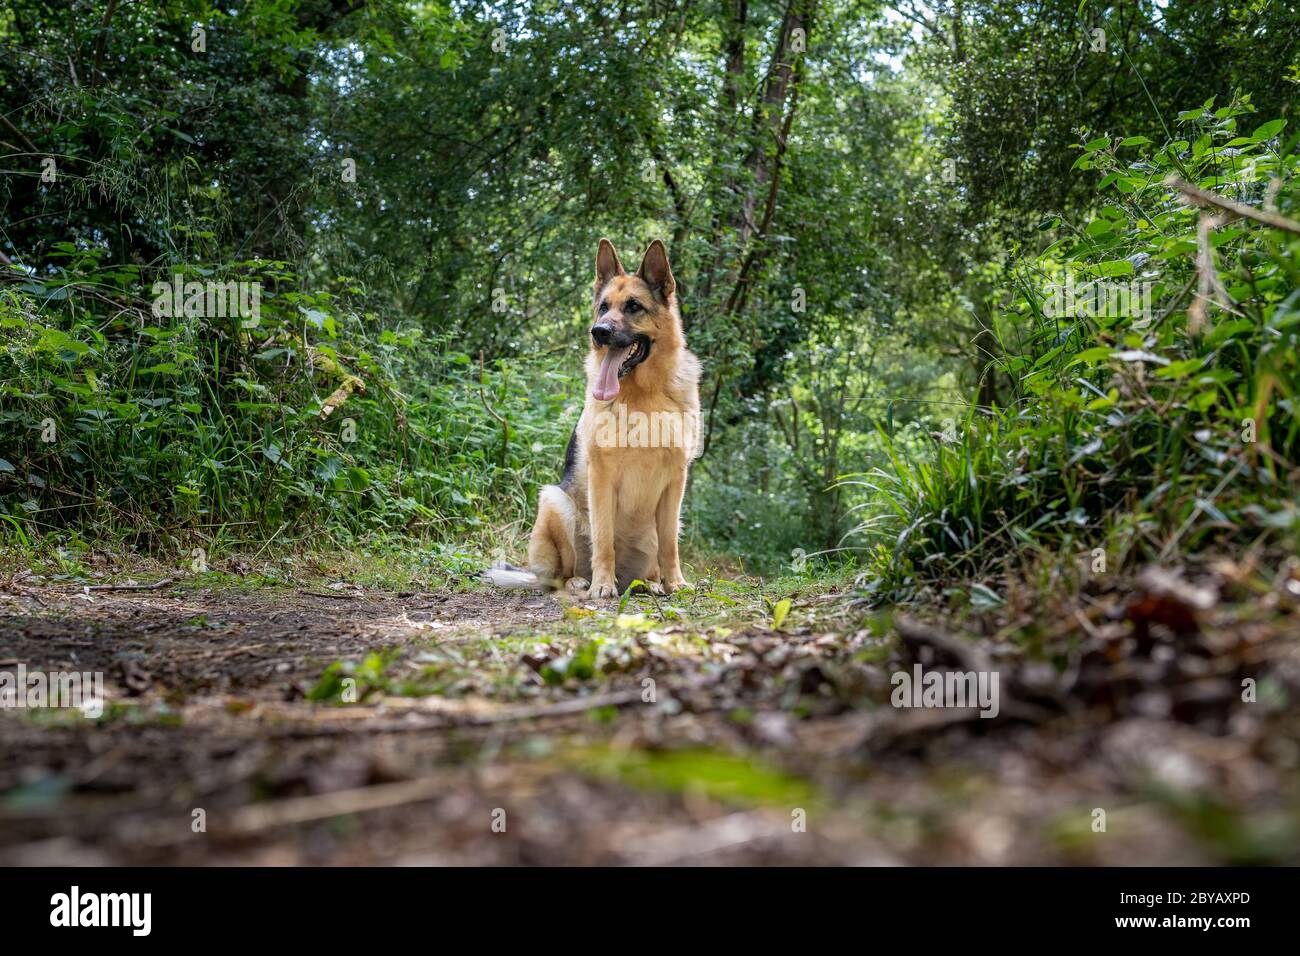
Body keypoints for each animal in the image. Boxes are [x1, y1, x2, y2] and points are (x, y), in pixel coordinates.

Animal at [486, 238, 702, 598]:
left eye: (633, 307)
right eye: (603, 307)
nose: (598, 332)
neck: (641, 395)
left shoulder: (676, 481)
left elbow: (670, 544)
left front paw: (676, 583)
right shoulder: (601, 477)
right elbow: (604, 540)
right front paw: (602, 585)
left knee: (654, 556)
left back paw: (651, 583)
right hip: (555, 502)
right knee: (563, 573)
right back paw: (581, 581)